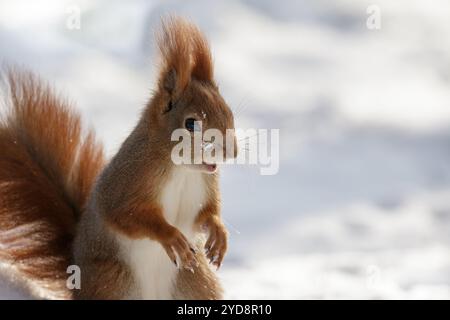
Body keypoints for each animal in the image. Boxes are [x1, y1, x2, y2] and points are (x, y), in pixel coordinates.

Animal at [0, 16, 237, 298]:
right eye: (191, 124)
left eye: (229, 111)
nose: (232, 151)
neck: (182, 170)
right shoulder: (129, 181)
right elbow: (126, 216)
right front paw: (171, 237)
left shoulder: (205, 185)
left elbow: (206, 213)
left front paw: (219, 233)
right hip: (113, 281)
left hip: (196, 283)